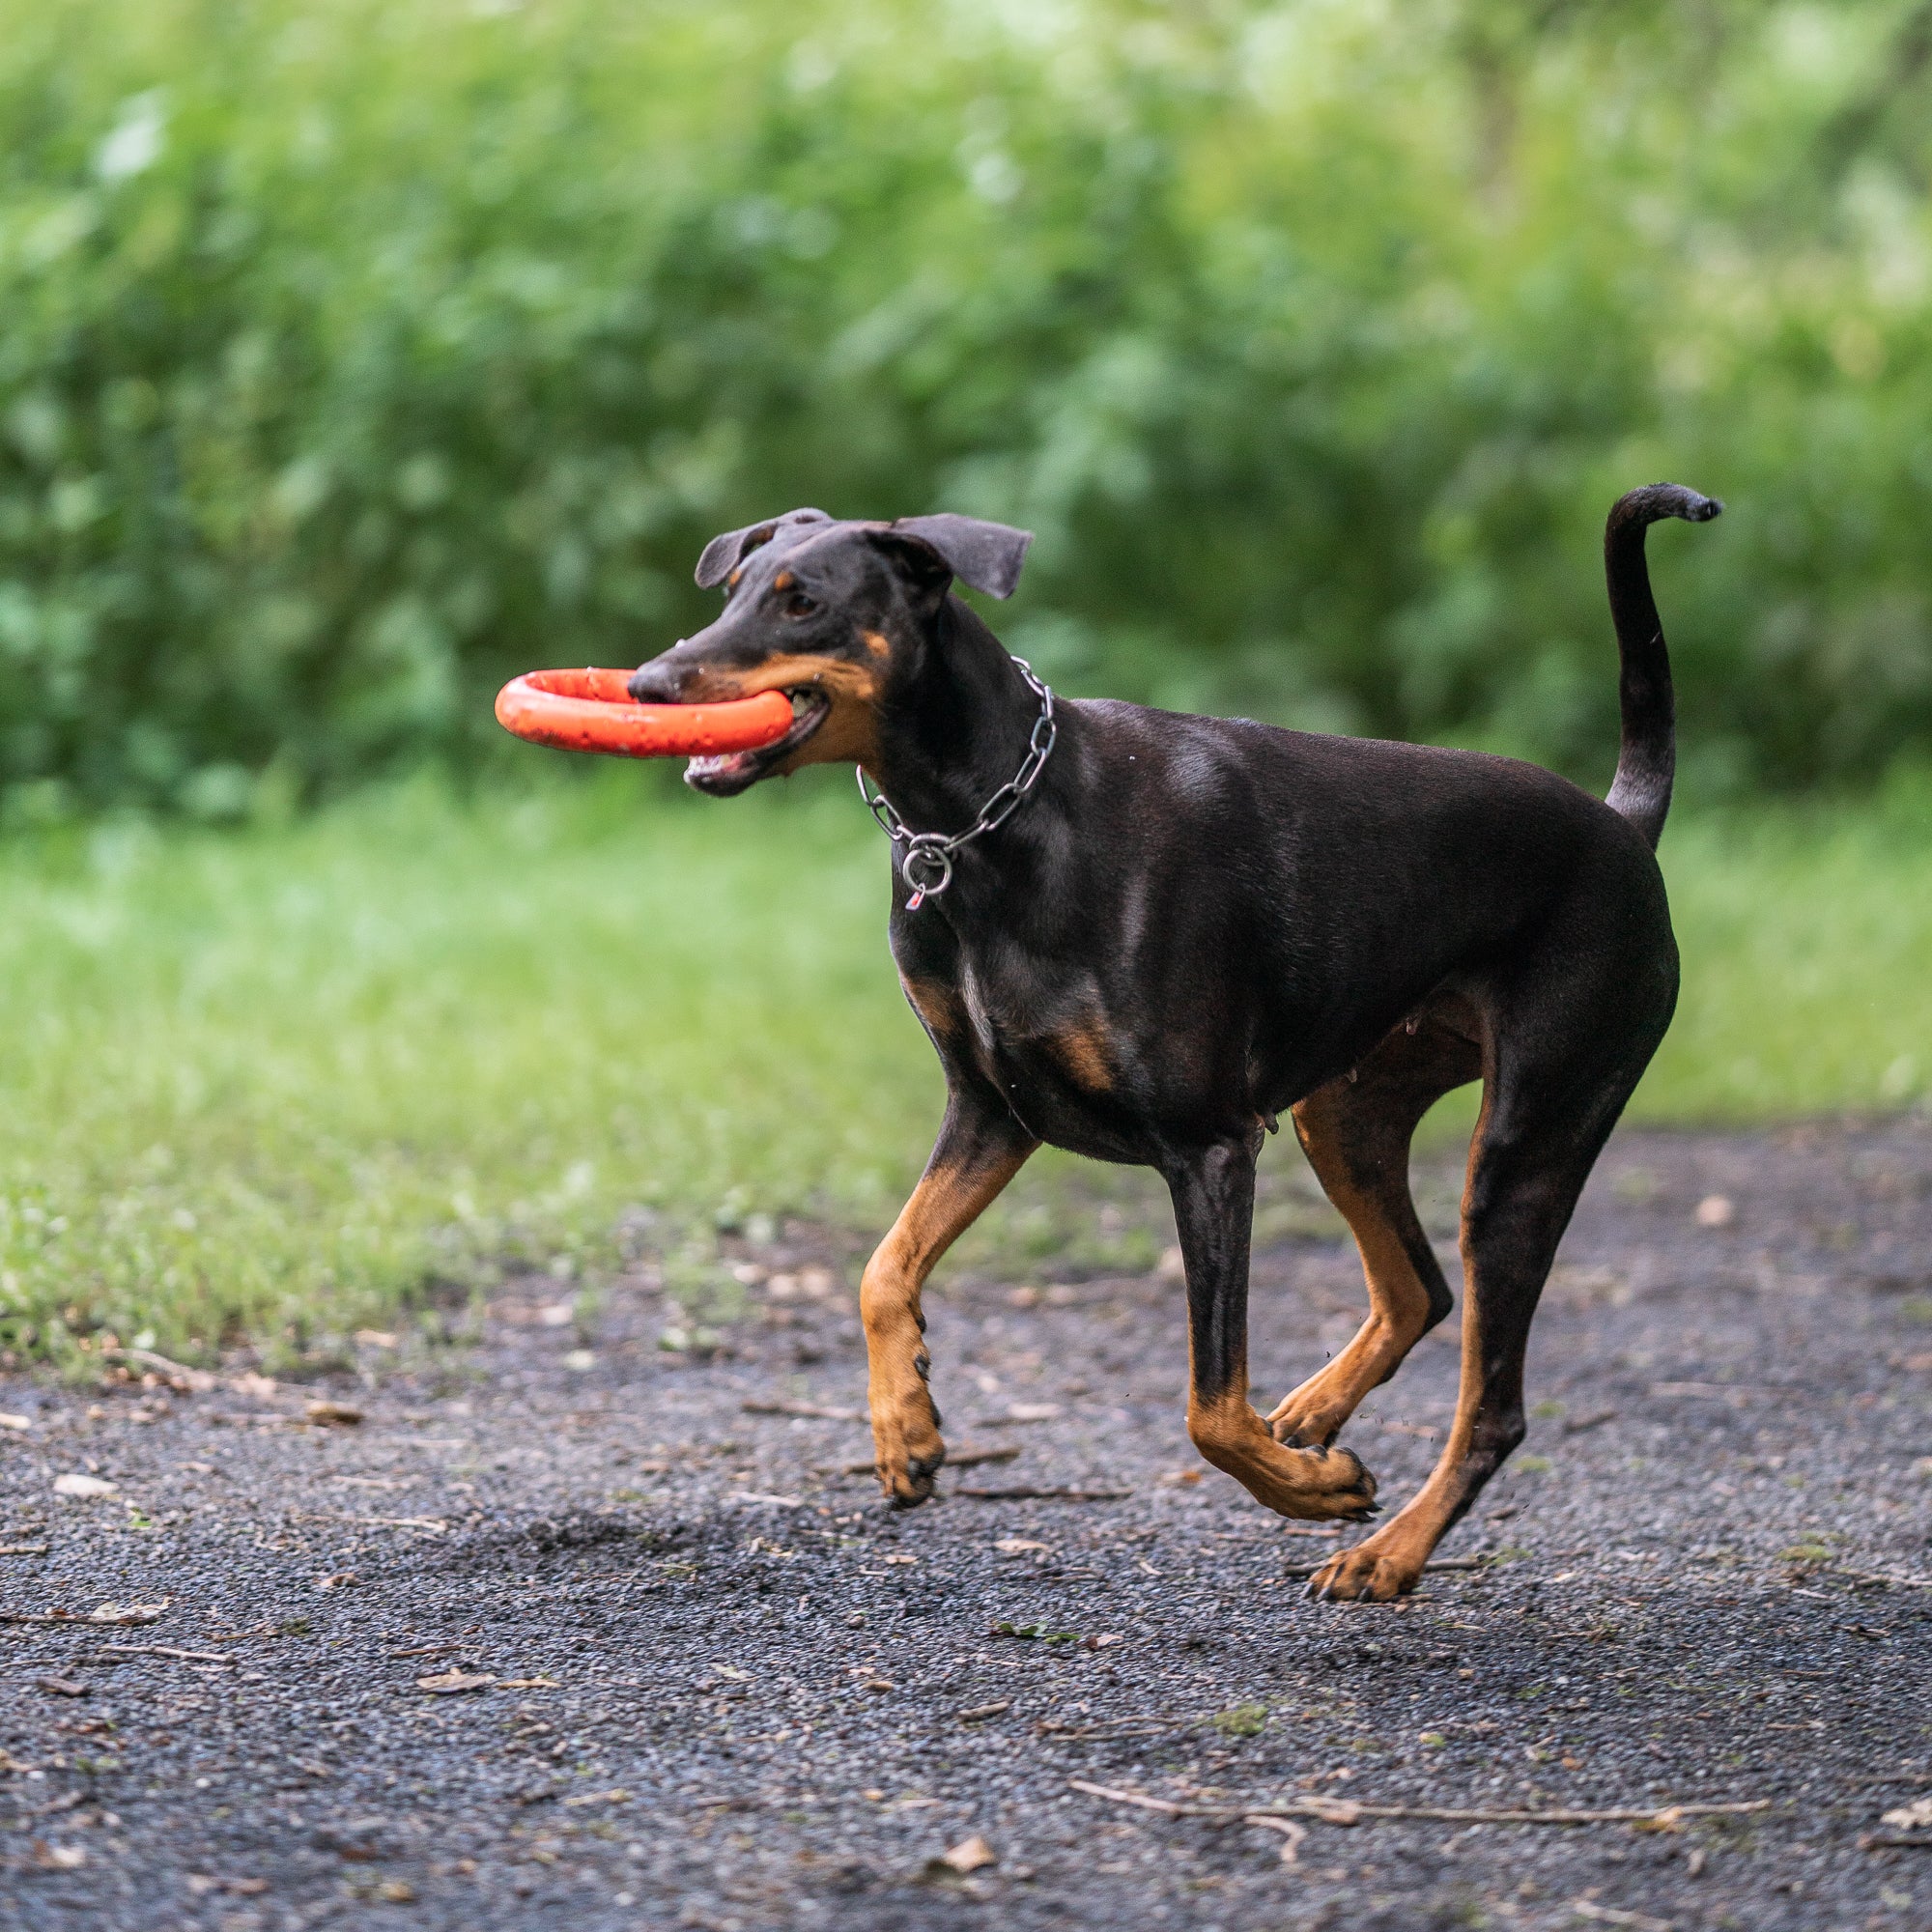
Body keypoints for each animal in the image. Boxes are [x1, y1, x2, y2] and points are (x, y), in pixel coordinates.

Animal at [634, 491, 1723, 1607]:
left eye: (802, 601)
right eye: (729, 590)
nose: (647, 685)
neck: (994, 824)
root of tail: (1621, 826)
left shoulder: (1208, 1149)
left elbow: (1210, 1406)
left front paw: (1312, 1491)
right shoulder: (989, 1113)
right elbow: (881, 1267)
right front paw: (907, 1431)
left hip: (1525, 1143)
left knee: (1492, 1403)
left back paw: (1384, 1550)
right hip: (1348, 1109)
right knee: (1419, 1286)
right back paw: (1315, 1417)